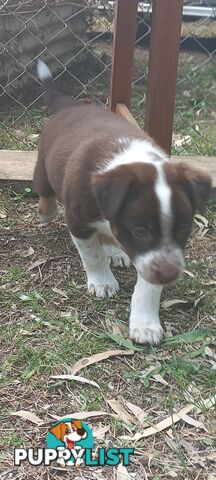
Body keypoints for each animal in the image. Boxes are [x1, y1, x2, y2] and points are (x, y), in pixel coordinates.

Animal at [34, 61, 211, 344]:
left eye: (184, 228)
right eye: (140, 230)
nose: (169, 276)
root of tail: (71, 106)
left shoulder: (153, 256)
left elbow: (147, 285)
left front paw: (145, 324)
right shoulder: (79, 220)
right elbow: (92, 255)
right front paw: (103, 282)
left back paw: (116, 252)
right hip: (43, 169)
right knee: (45, 192)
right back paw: (47, 212)